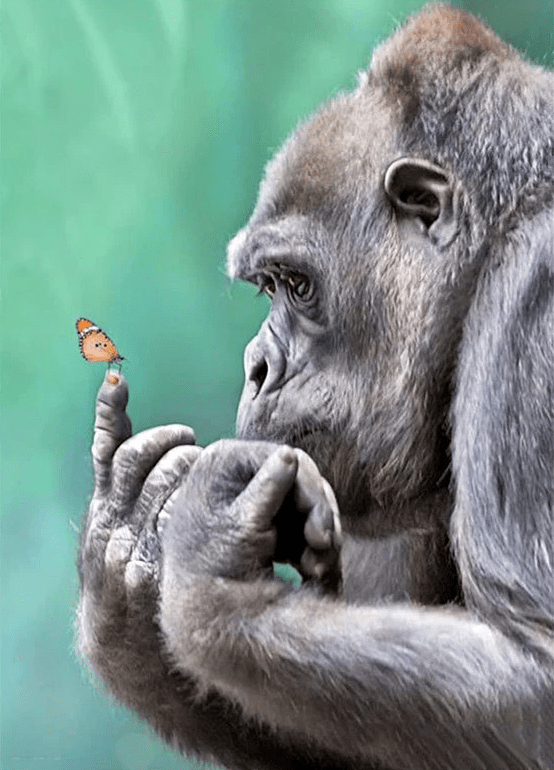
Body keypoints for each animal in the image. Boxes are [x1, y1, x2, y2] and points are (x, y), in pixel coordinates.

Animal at [77, 4, 554, 769]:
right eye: (266, 288)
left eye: (297, 285)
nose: (256, 366)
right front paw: (126, 554)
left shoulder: (534, 291)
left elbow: (534, 676)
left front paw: (213, 576)